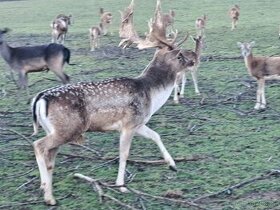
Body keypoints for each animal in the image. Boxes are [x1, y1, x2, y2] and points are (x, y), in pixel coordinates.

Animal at [31, 0, 196, 205]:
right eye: (179, 56)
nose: (193, 60)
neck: (150, 93)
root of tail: (40, 98)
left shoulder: (139, 123)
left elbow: (156, 135)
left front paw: (172, 164)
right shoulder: (129, 124)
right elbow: (124, 153)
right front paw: (121, 185)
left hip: (54, 130)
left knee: (49, 155)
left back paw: (44, 188)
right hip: (67, 128)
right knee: (38, 145)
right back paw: (49, 196)